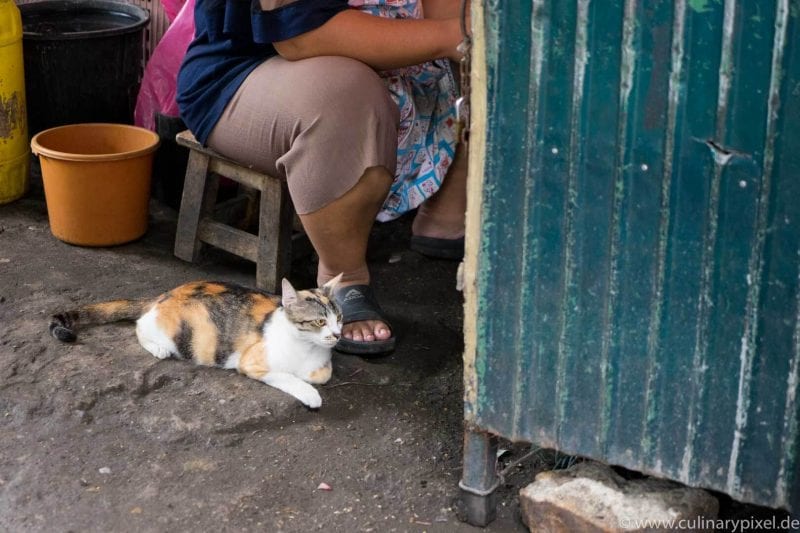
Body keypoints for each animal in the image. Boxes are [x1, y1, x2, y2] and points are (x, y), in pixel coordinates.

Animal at [49, 274, 344, 408]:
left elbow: (323, 374)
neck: (306, 349)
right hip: (173, 333)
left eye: (339, 317)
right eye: (319, 322)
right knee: (140, 324)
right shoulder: (252, 363)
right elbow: (288, 376)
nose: (338, 334)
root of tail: (163, 294)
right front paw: (310, 394)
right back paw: (157, 348)